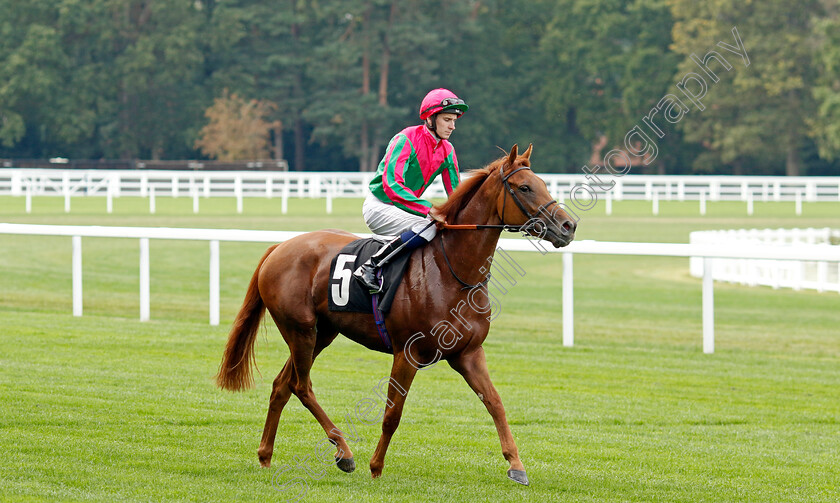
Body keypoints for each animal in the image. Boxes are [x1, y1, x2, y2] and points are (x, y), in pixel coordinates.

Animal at [215, 144, 576, 486]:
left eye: (544, 183)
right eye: (525, 187)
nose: (568, 225)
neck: (451, 270)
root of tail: (278, 247)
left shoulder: (468, 353)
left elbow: (495, 403)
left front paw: (516, 465)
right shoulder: (407, 352)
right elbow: (393, 413)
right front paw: (376, 467)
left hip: (321, 333)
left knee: (282, 385)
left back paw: (266, 455)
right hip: (300, 330)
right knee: (301, 385)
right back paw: (344, 452)